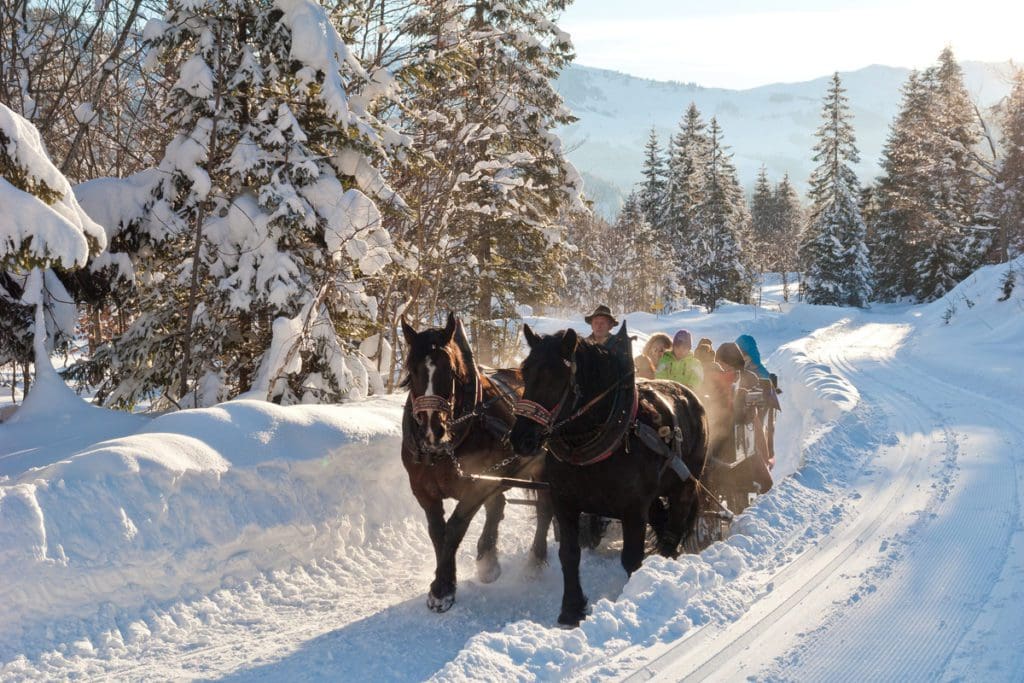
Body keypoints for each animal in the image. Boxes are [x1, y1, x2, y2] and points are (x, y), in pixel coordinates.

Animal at [399, 315, 552, 614]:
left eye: (450, 371)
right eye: (411, 369)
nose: (432, 430)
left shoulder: (476, 484)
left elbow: (455, 529)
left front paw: (442, 589)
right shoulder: (424, 491)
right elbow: (438, 533)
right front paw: (445, 579)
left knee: (543, 509)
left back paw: (535, 561)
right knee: (498, 506)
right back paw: (488, 559)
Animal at [507, 323, 708, 626]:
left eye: (557, 376)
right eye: (525, 371)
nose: (521, 439)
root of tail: (691, 395)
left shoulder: (633, 509)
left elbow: (631, 558)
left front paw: (633, 599)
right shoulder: (564, 502)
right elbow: (569, 554)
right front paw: (571, 609)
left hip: (684, 482)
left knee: (675, 525)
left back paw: (667, 563)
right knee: (661, 520)